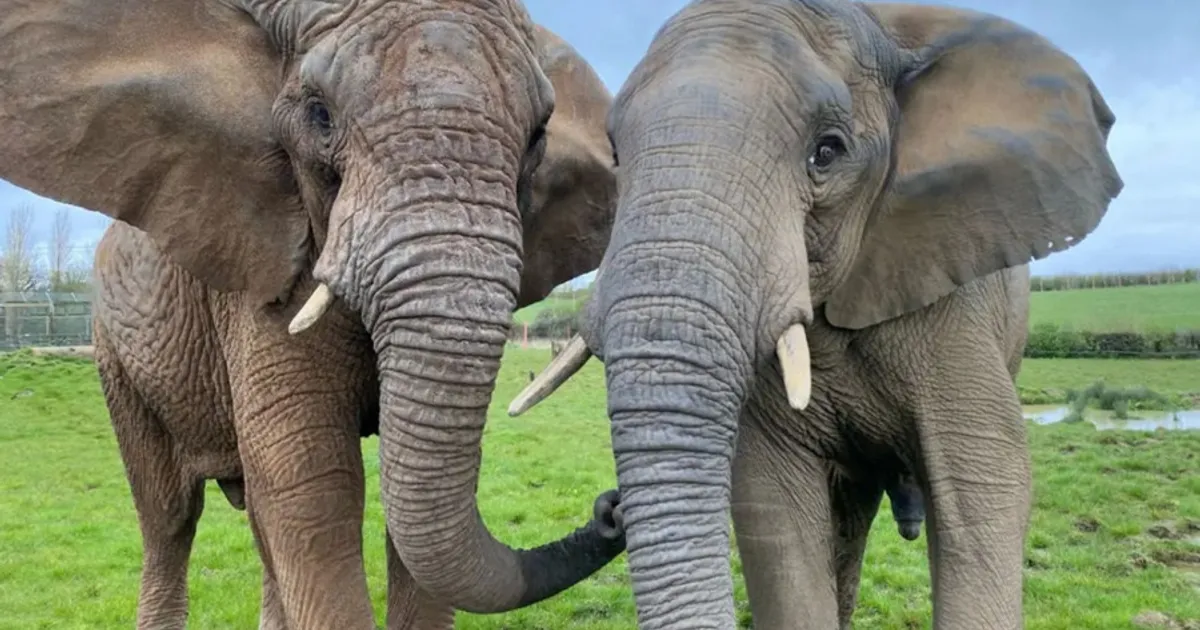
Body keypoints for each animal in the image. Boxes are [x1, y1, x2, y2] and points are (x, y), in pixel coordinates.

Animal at [1, 1, 623, 628]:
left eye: (538, 135)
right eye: (319, 115)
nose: (610, 508)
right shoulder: (261, 272)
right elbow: (313, 485)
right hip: (114, 352)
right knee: (169, 516)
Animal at [511, 1, 1122, 628]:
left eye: (826, 152)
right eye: (615, 155)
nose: (612, 509)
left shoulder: (958, 306)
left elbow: (984, 492)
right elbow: (776, 513)